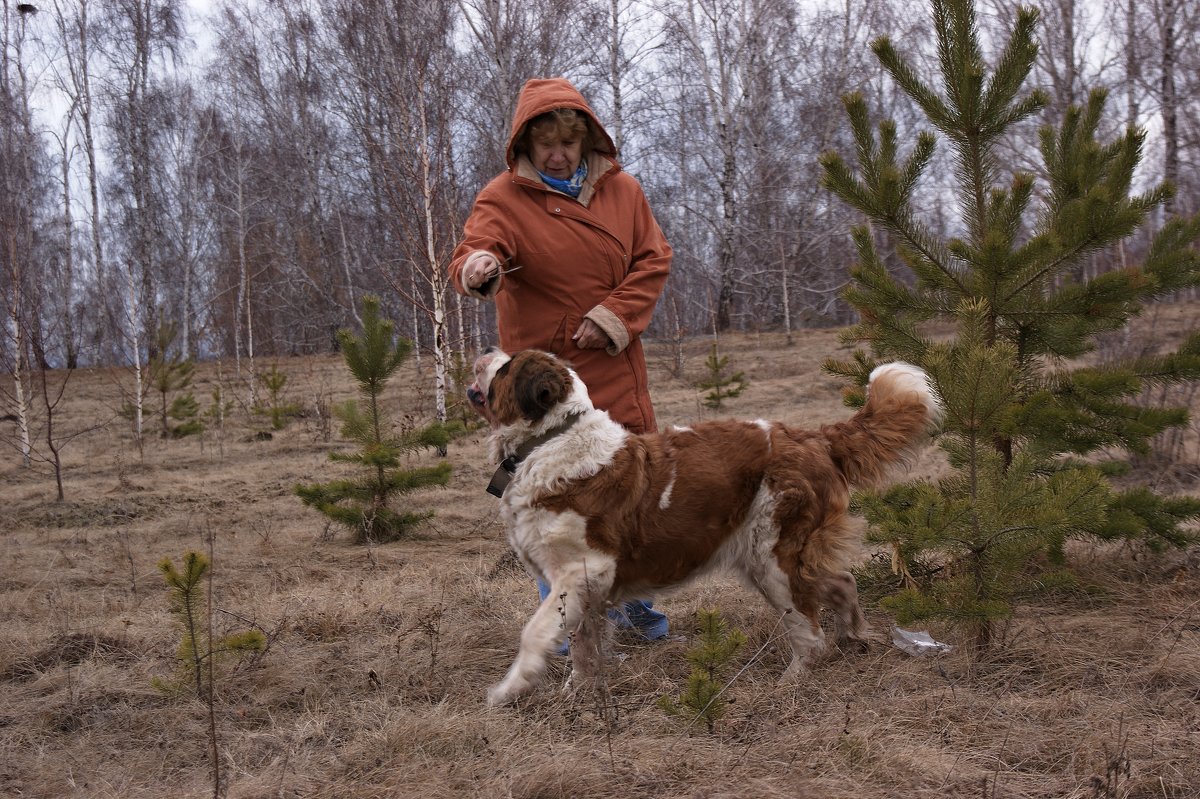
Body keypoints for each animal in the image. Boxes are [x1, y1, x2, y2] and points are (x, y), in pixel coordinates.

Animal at [472, 345, 940, 700]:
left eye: (507, 367)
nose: (485, 351)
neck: (548, 441)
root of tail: (816, 437)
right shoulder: (582, 588)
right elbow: (582, 643)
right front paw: (581, 692)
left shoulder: (582, 571)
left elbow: (535, 632)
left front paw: (510, 689)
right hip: (768, 561)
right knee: (842, 582)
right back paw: (854, 635)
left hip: (773, 561)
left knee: (808, 626)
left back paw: (792, 681)